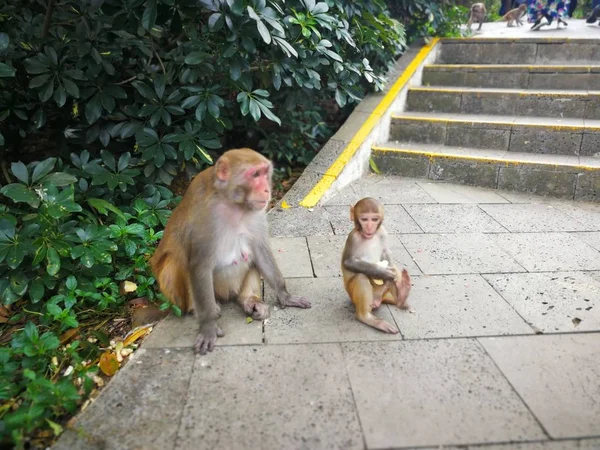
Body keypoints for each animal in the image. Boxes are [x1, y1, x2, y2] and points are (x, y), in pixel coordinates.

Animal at [150, 148, 312, 356]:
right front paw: (208, 326)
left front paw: (285, 295)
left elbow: (260, 251)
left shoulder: (257, 214)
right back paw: (198, 308)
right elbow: (199, 265)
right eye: (254, 174)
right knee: (175, 263)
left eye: (264, 172)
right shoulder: (206, 219)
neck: (234, 203)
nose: (267, 190)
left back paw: (249, 300)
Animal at [342, 198, 412, 334]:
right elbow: (349, 262)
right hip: (353, 297)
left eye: (374, 219)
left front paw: (389, 275)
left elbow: (385, 253)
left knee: (394, 268)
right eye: (364, 219)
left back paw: (401, 297)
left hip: (382, 294)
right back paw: (366, 317)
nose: (369, 227)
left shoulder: (382, 232)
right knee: (361, 277)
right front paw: (382, 272)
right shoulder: (353, 237)